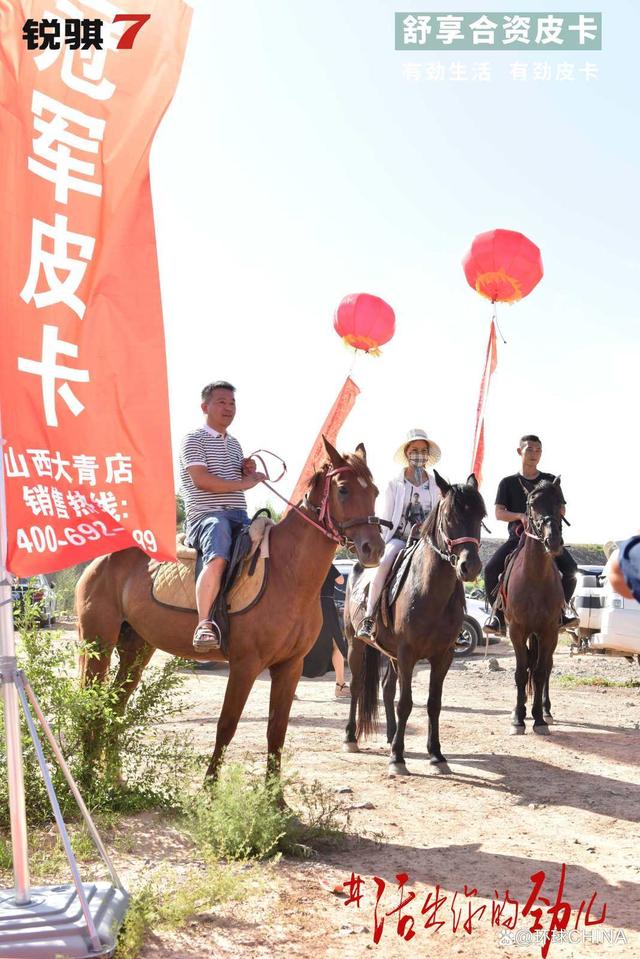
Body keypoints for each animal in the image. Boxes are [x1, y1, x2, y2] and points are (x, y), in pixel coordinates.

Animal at [75, 438, 384, 784]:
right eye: (343, 489)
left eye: (374, 491)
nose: (374, 548)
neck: (287, 572)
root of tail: (98, 563)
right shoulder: (245, 665)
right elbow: (226, 726)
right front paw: (209, 789)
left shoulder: (289, 667)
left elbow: (277, 731)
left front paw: (275, 796)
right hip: (98, 643)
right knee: (90, 706)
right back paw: (86, 779)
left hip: (136, 649)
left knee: (115, 706)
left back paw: (114, 779)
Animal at [342, 474, 482, 780]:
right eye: (449, 516)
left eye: (481, 515)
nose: (471, 567)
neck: (430, 591)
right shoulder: (408, 653)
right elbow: (405, 702)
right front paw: (397, 757)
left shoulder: (443, 656)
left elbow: (433, 703)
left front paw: (436, 754)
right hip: (355, 644)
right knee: (357, 686)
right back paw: (351, 737)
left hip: (392, 655)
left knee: (386, 688)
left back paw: (392, 734)